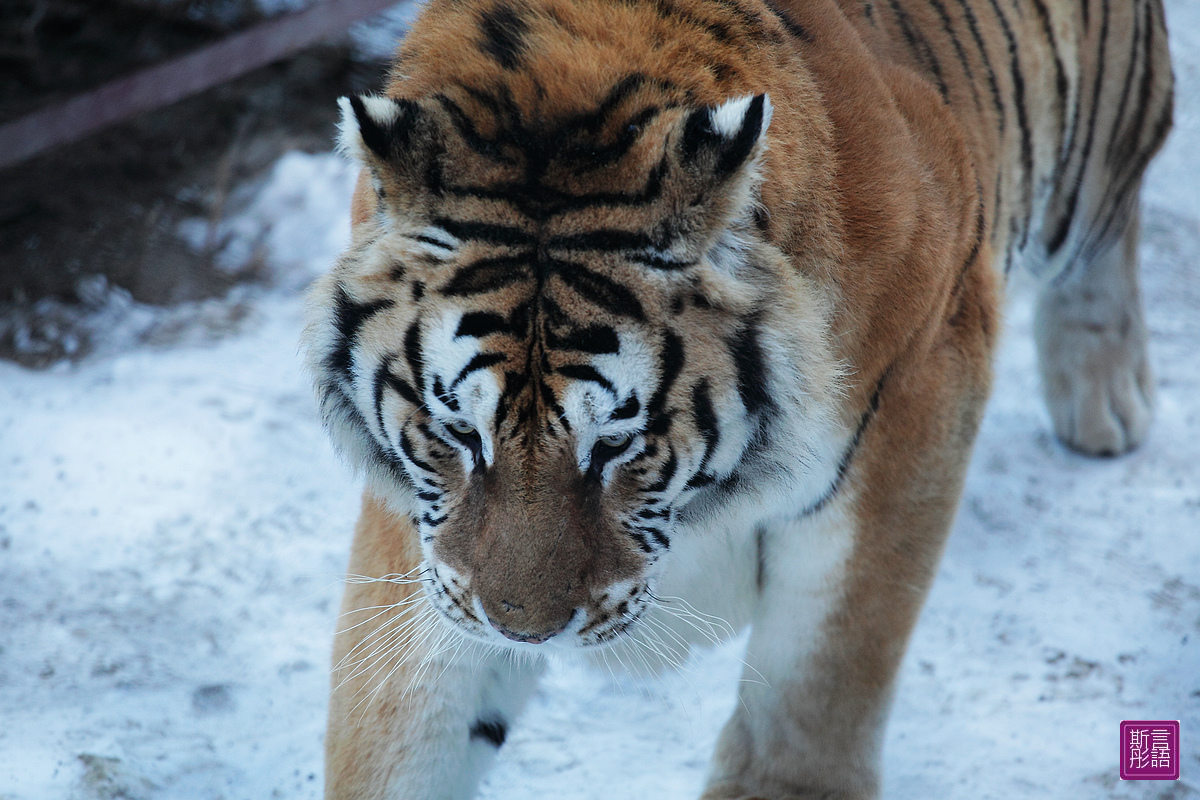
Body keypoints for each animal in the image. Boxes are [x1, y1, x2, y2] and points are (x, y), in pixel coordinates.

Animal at [300, 0, 1171, 796]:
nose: (526, 629)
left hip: (1095, 150)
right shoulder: (427, 549)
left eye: (616, 444)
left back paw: (1105, 399)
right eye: (458, 431)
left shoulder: (922, 385)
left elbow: (818, 689)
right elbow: (400, 727)